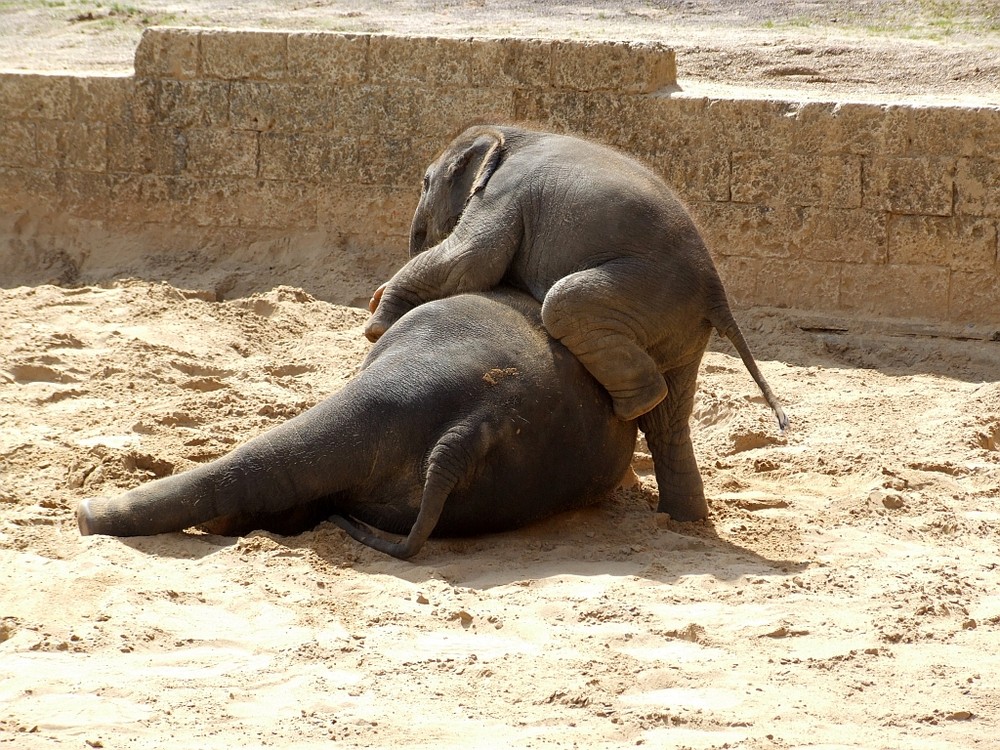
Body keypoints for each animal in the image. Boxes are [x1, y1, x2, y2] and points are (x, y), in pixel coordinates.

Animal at [366, 123, 788, 524]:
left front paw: (377, 319)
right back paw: (684, 518)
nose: (419, 234)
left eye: (425, 181)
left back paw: (636, 405)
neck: (509, 134)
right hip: (683, 329)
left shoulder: (503, 195)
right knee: (669, 420)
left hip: (649, 288)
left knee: (564, 303)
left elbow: (468, 260)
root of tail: (717, 292)